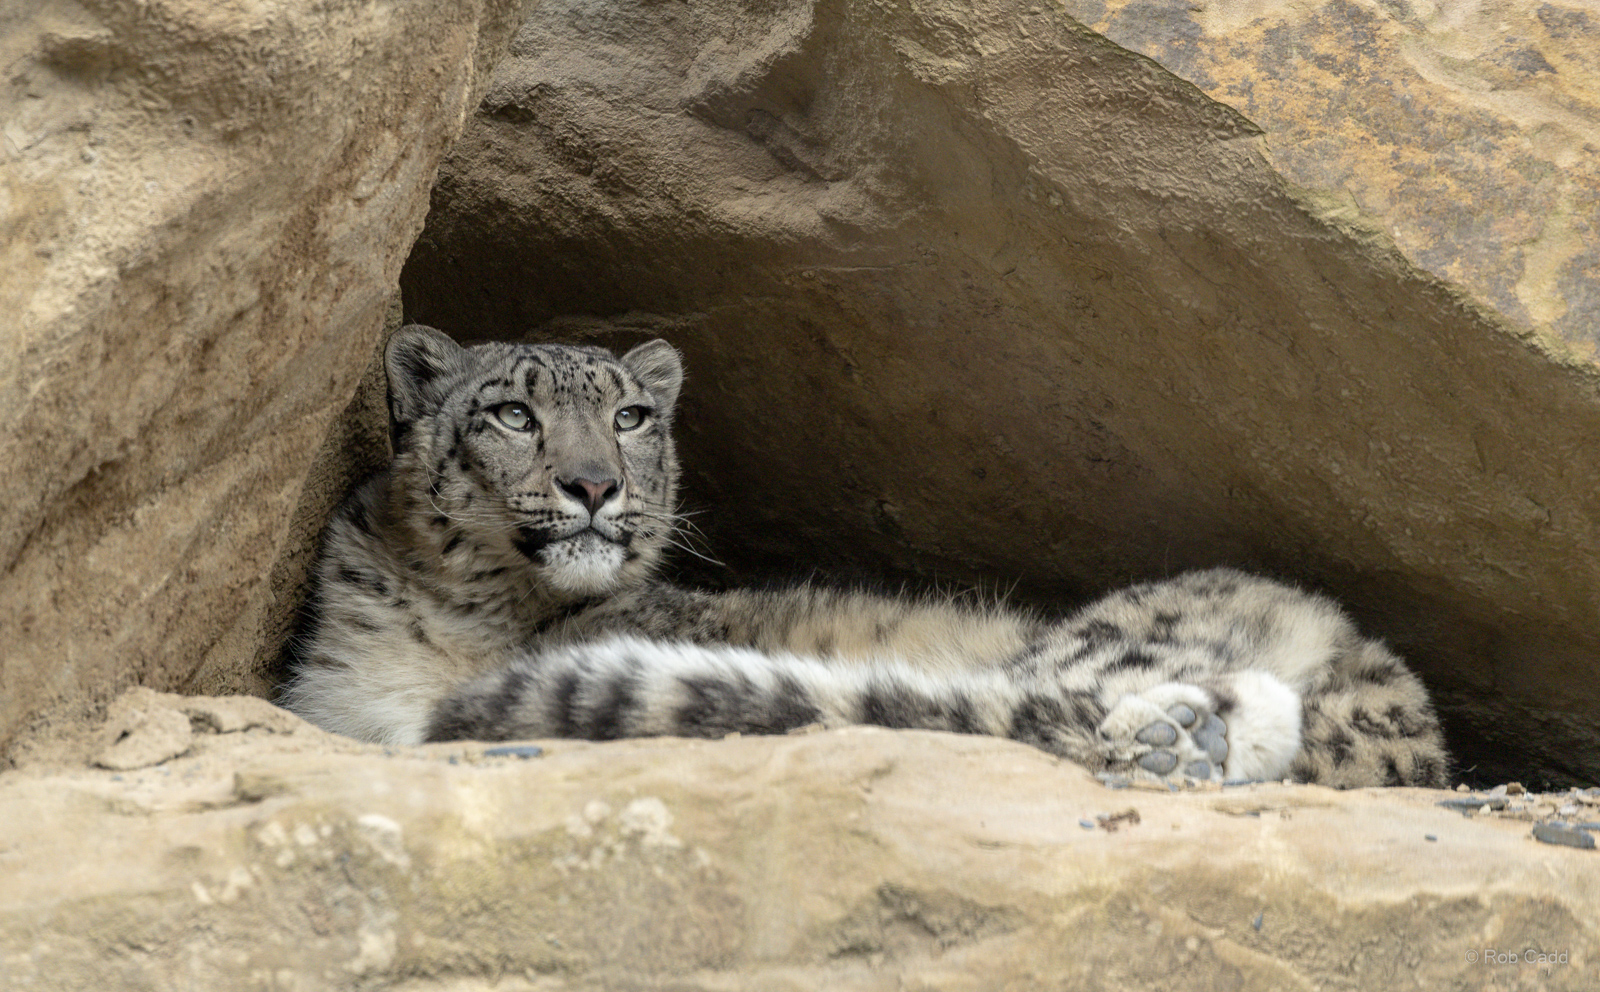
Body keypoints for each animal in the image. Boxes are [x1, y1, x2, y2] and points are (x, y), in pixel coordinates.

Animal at [279, 324, 1451, 788]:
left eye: (630, 415)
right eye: (513, 413)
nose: (593, 486)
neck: (479, 617)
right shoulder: (340, 700)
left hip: (1098, 644)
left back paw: (1173, 738)